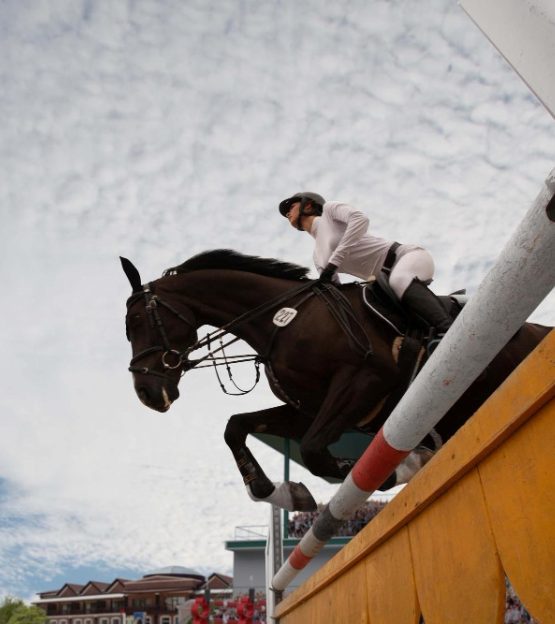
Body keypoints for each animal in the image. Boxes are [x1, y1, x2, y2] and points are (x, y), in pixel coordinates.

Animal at [121, 249, 552, 512]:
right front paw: (280, 493)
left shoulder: (364, 382)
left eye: (137, 322)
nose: (146, 393)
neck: (283, 319)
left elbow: (316, 454)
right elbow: (236, 427)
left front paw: (406, 466)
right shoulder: (309, 410)